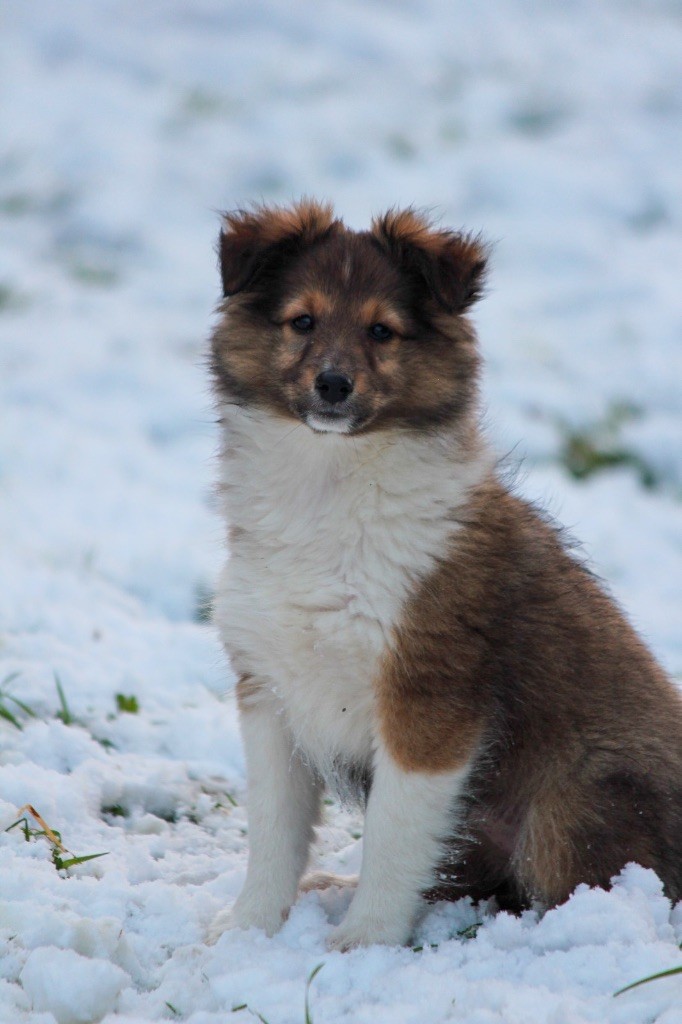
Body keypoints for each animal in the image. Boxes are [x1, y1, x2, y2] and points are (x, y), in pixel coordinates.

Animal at [206, 199, 679, 950]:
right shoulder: (270, 693)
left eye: (382, 331)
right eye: (302, 321)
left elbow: (396, 835)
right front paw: (250, 927)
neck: (328, 488)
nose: (332, 385)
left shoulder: (427, 700)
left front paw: (362, 941)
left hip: (572, 803)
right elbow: (274, 832)